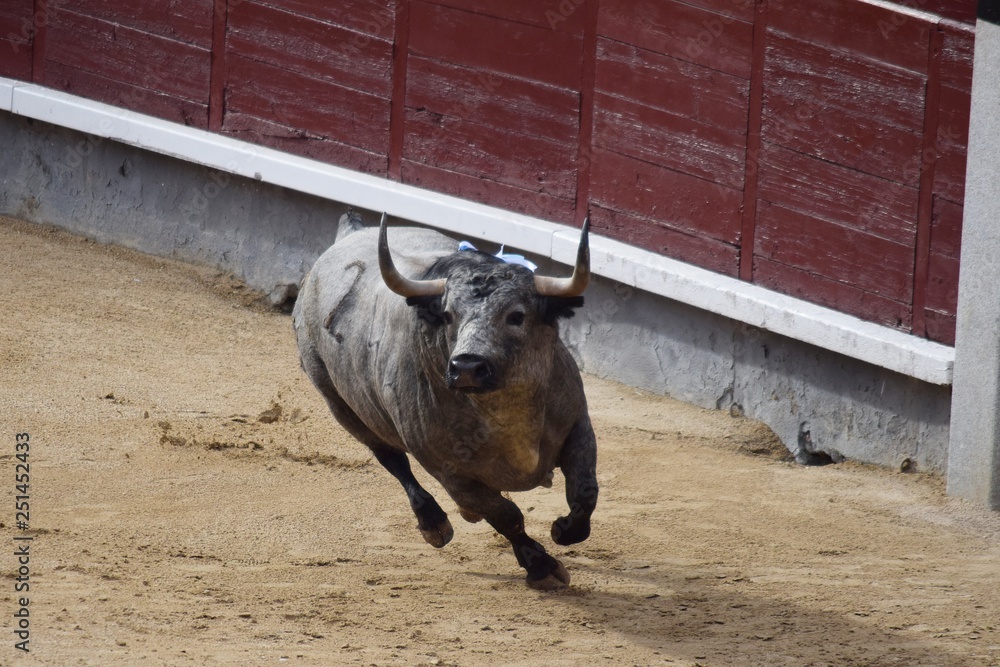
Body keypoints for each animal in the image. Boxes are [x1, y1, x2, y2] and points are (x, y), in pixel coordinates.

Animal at [292, 212, 598, 590]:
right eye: (449, 315)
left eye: (516, 315)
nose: (467, 366)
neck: (504, 412)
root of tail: (348, 234)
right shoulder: (449, 471)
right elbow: (506, 516)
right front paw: (541, 566)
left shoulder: (579, 425)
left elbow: (584, 491)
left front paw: (564, 530)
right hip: (340, 404)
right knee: (391, 458)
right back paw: (433, 523)